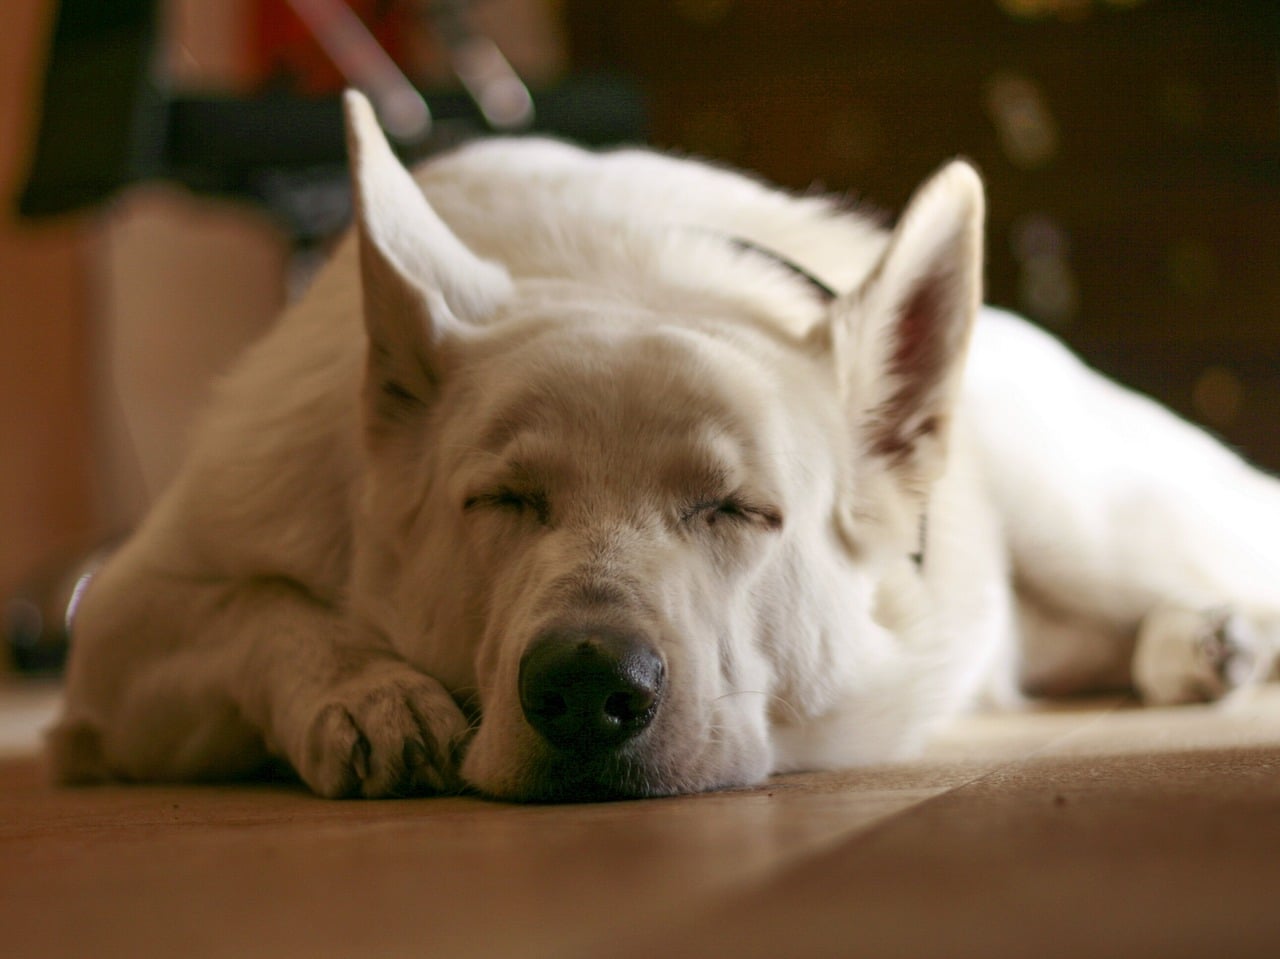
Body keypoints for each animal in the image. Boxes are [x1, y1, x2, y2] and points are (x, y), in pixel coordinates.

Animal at [47, 91, 1269, 798]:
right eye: (503, 501)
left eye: (740, 509)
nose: (587, 685)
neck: (613, 272)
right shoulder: (121, 622)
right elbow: (263, 612)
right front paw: (365, 690)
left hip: (1081, 517)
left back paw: (1214, 634)